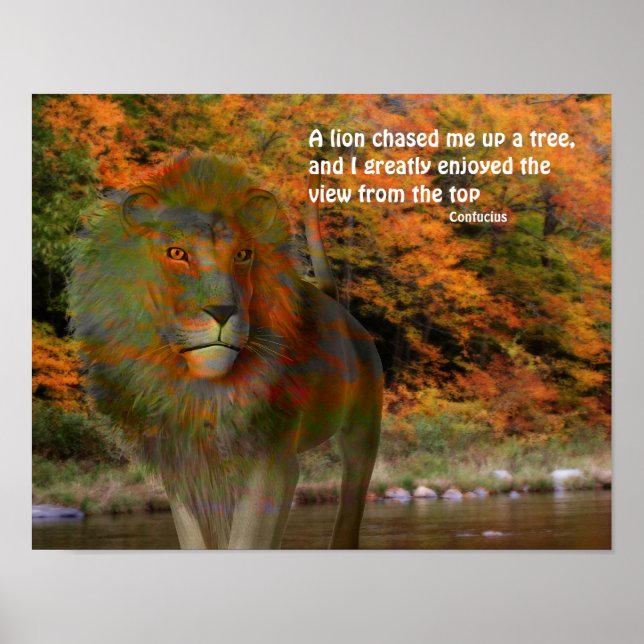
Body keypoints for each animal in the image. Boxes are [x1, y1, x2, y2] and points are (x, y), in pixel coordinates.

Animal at [69, 154, 383, 549]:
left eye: (243, 255)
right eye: (177, 253)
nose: (222, 311)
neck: (203, 391)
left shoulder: (272, 465)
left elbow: (247, 541)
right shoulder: (184, 466)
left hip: (363, 433)